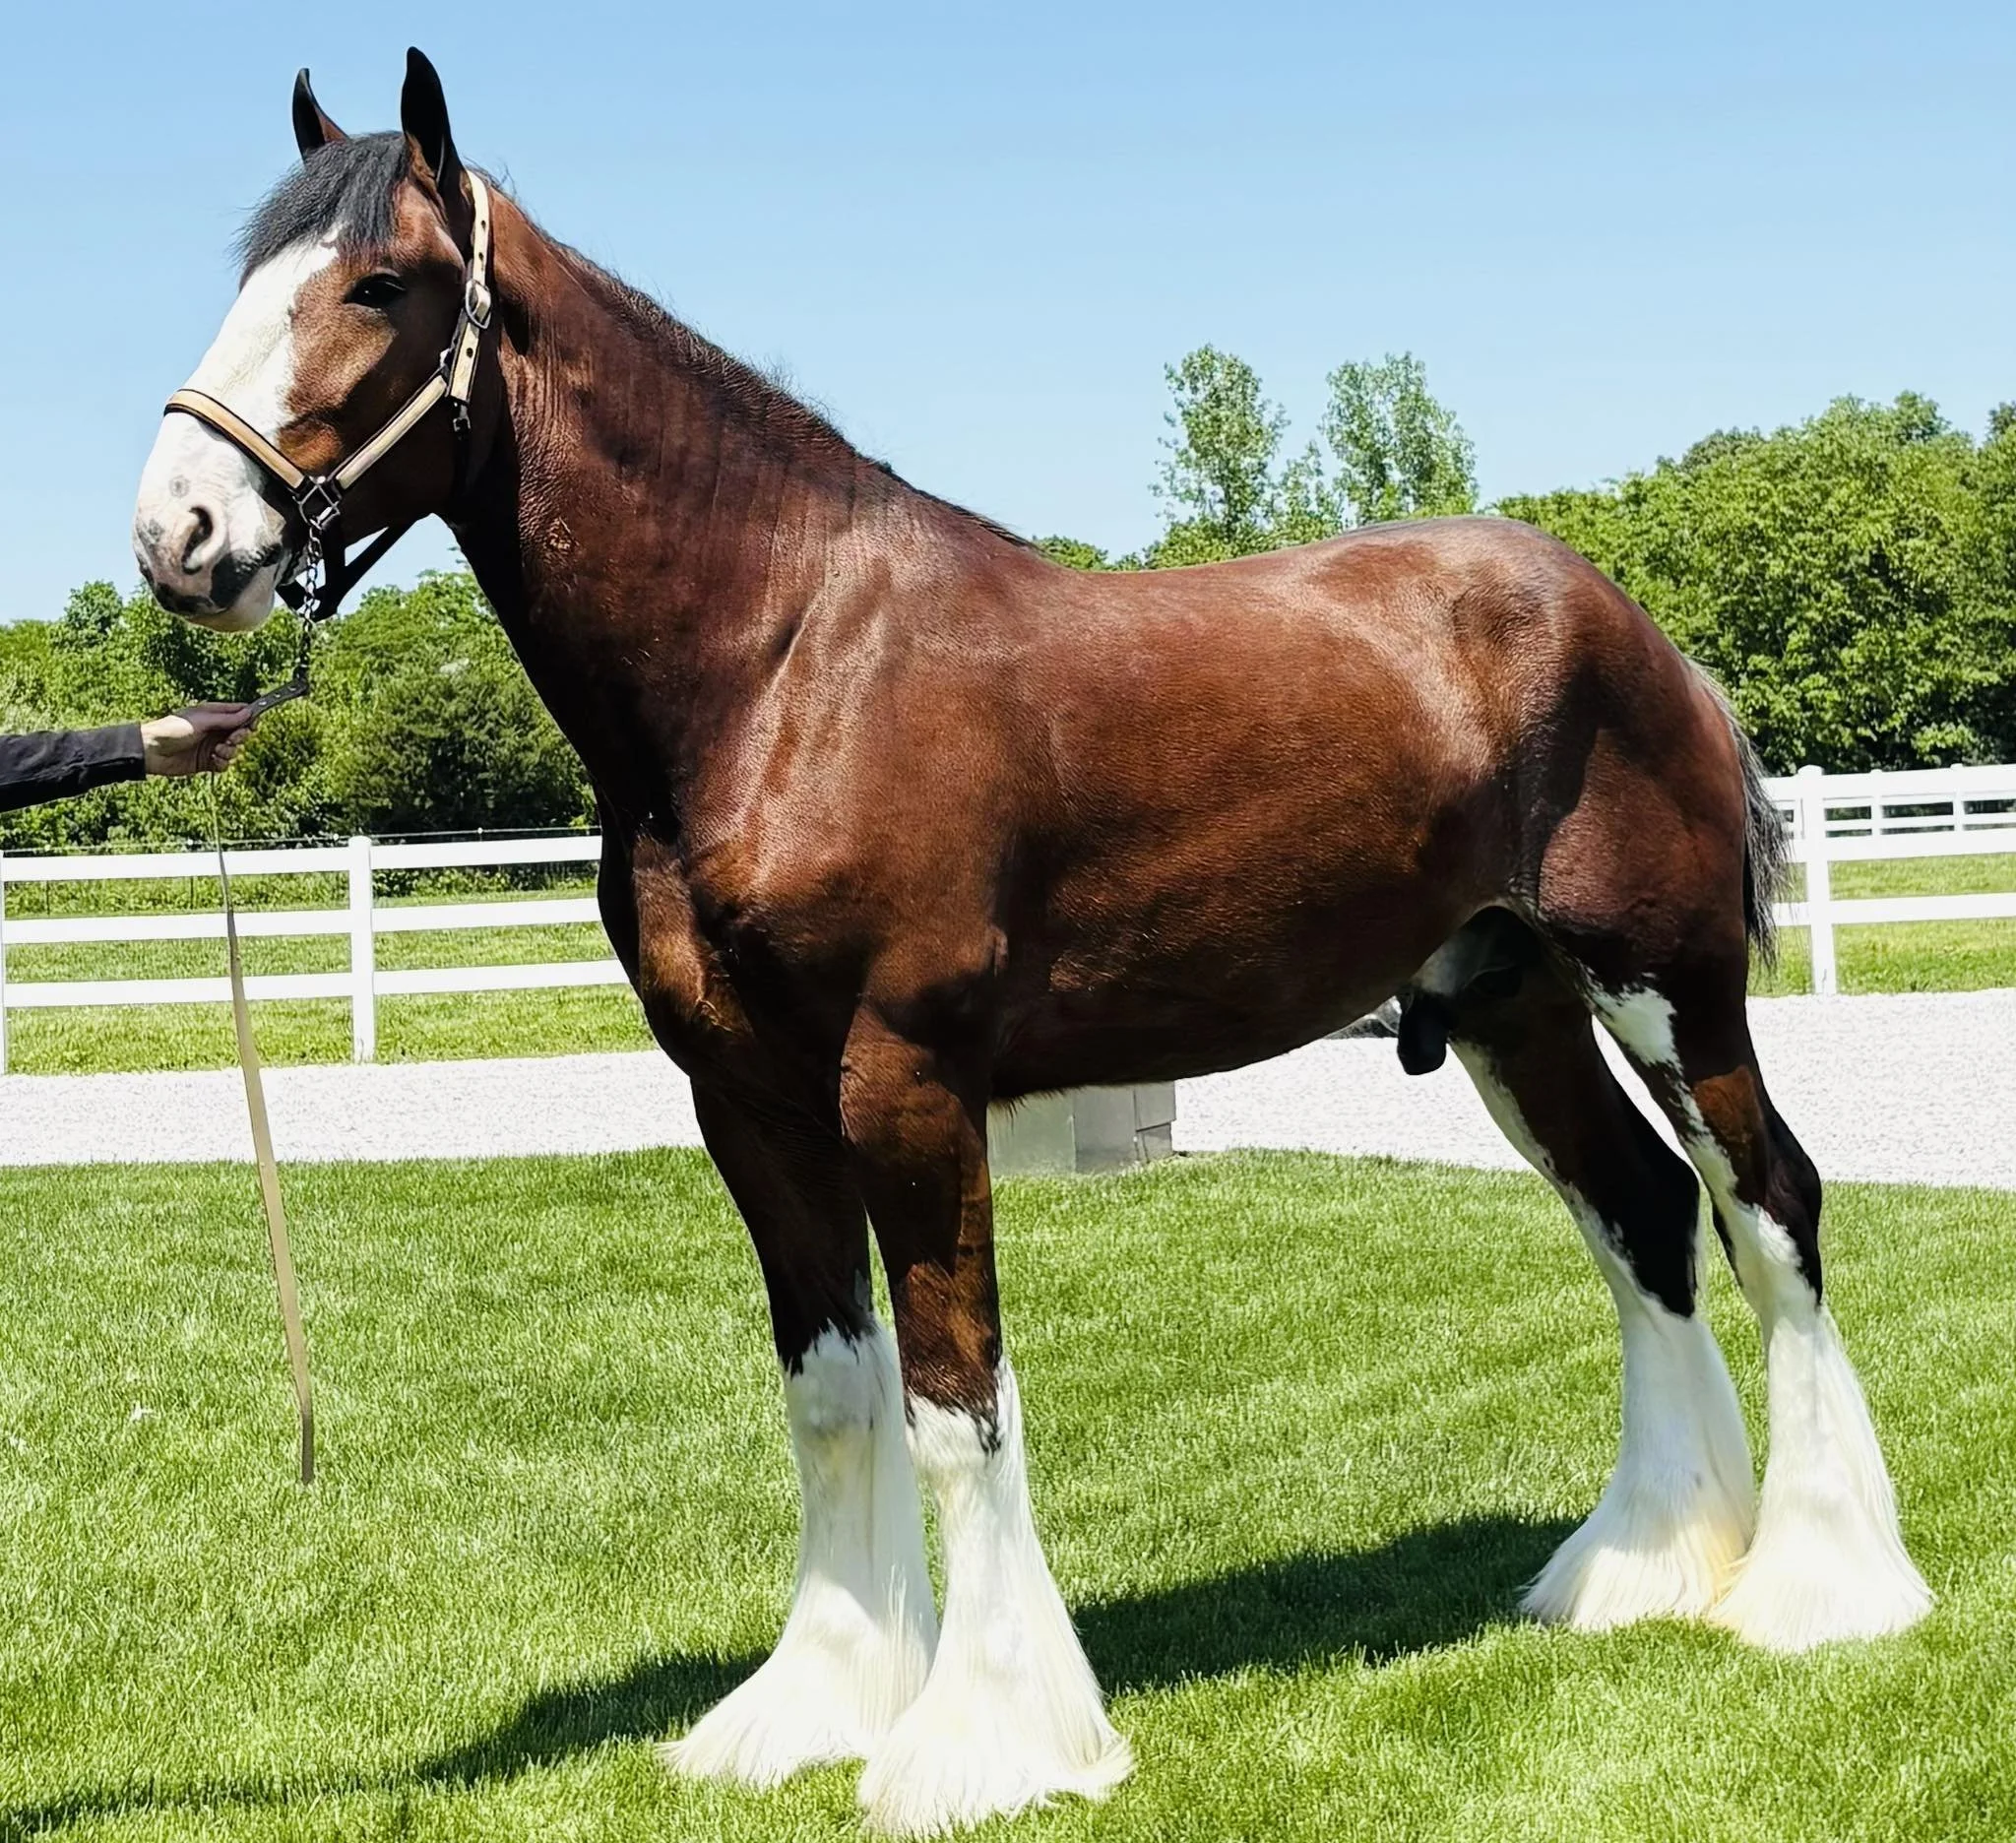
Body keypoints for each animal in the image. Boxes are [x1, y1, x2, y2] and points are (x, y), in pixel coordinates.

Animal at [131, 50, 1931, 1836]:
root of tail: (1632, 624)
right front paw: (816, 1704)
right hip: (1511, 1008)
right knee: (1642, 1221)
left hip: (1661, 983)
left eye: (380, 281)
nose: (179, 534)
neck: (780, 666)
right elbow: (832, 1390)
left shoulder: (904, 1083)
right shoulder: (749, 1102)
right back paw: (1641, 1570)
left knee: (1767, 1205)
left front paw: (984, 1737)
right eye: (248, 273)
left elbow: (952, 1396)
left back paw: (1823, 1586)